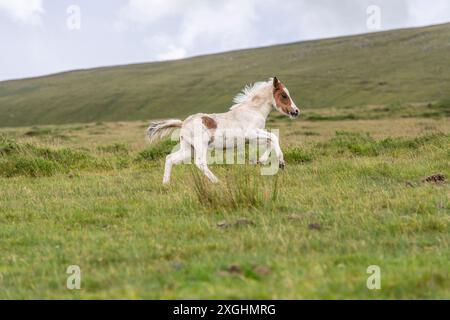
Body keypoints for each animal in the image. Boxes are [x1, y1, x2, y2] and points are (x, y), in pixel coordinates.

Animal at [148, 76, 300, 184]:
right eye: (284, 95)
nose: (296, 111)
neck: (253, 110)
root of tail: (183, 123)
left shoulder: (252, 138)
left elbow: (269, 142)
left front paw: (260, 161)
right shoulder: (251, 133)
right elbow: (273, 137)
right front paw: (281, 163)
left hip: (188, 149)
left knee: (170, 158)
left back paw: (166, 184)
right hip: (200, 146)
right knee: (200, 163)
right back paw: (217, 182)